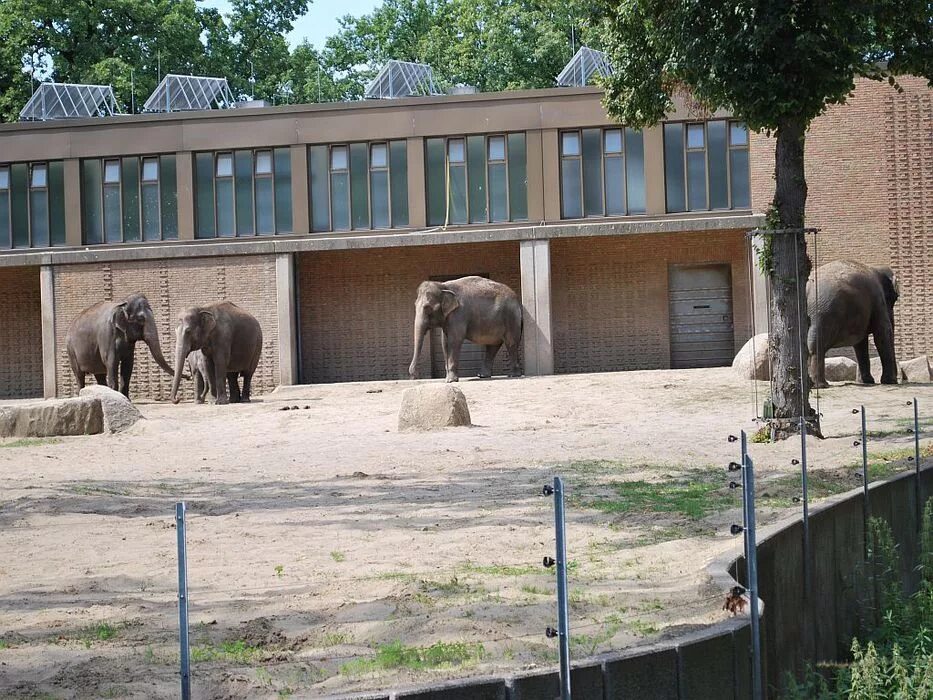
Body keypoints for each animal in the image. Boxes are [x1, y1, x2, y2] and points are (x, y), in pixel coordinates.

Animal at [808, 260, 896, 388]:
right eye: (894, 298)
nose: (897, 380)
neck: (875, 268)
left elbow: (861, 343)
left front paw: (867, 381)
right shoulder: (878, 299)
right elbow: (882, 332)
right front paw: (889, 381)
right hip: (823, 313)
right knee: (816, 346)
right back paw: (821, 385)